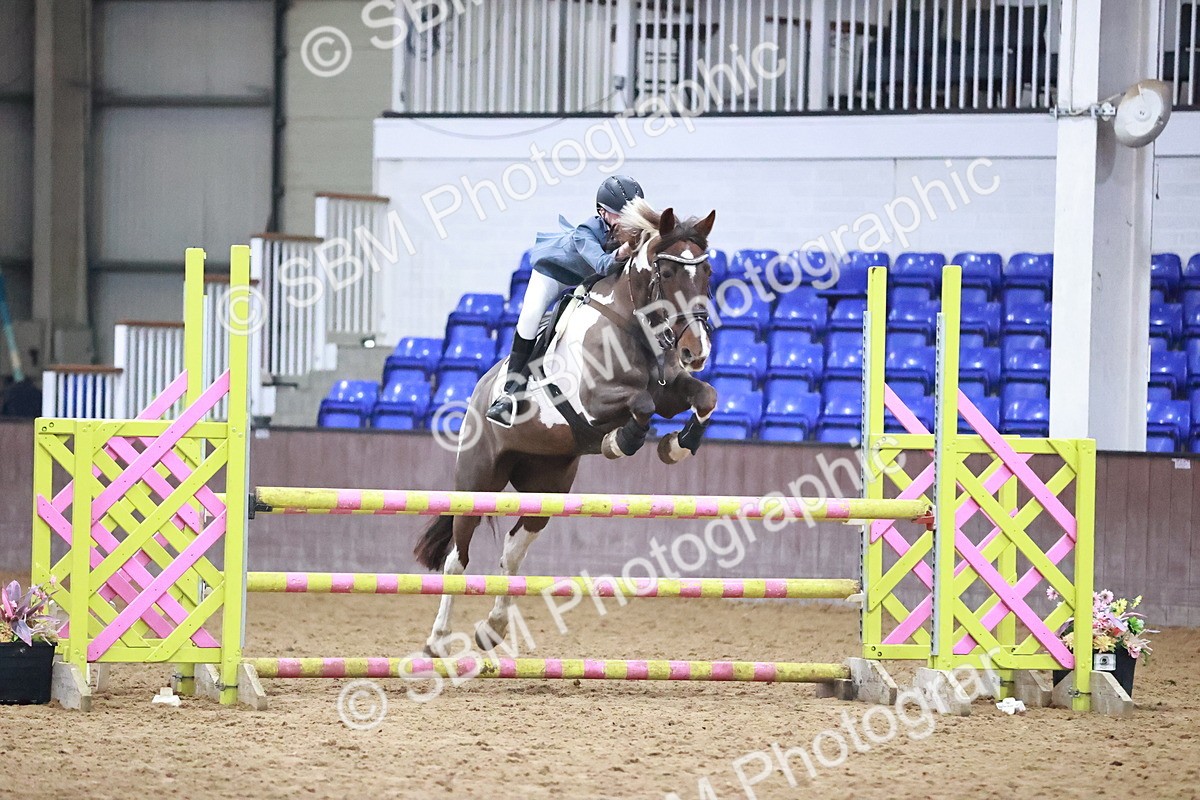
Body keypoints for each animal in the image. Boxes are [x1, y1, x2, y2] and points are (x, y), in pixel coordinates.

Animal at [414, 200, 719, 654]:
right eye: (666, 273)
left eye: (708, 272)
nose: (695, 351)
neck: (630, 322)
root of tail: (480, 390)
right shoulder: (592, 401)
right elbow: (640, 405)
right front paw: (620, 441)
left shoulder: (670, 389)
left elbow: (705, 397)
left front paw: (675, 446)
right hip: (477, 479)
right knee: (457, 558)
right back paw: (438, 640)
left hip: (546, 487)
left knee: (512, 553)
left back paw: (493, 628)